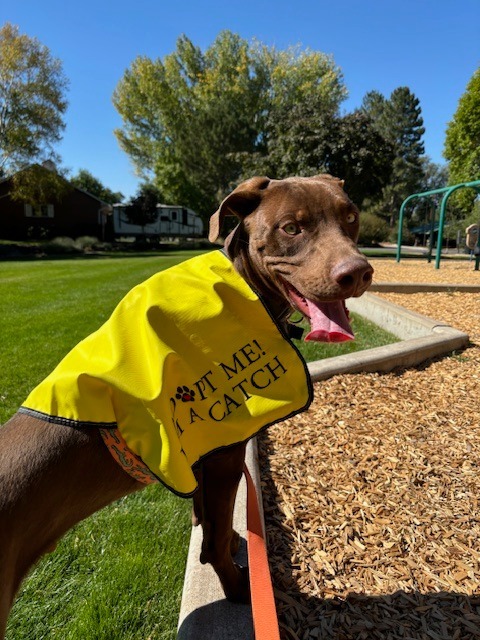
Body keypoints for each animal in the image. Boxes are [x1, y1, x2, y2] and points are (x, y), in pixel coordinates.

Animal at [0, 174, 372, 636]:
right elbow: (215, 538)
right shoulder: (226, 454)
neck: (245, 283)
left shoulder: (203, 451)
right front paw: (238, 588)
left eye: (351, 217)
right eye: (291, 228)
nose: (358, 273)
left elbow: (208, 517)